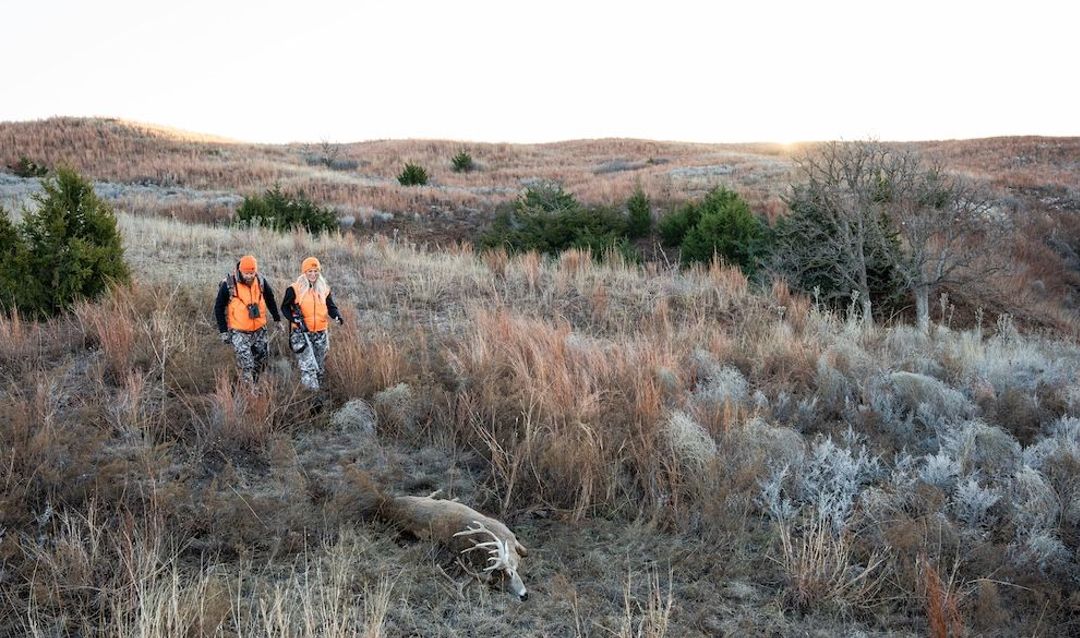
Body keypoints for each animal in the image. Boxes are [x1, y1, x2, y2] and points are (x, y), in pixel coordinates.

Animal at [345, 466, 529, 600]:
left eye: (511, 573)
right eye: (498, 586)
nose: (524, 596)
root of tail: (385, 505)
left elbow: (526, 552)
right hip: (411, 500)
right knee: (427, 496)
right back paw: (444, 494)